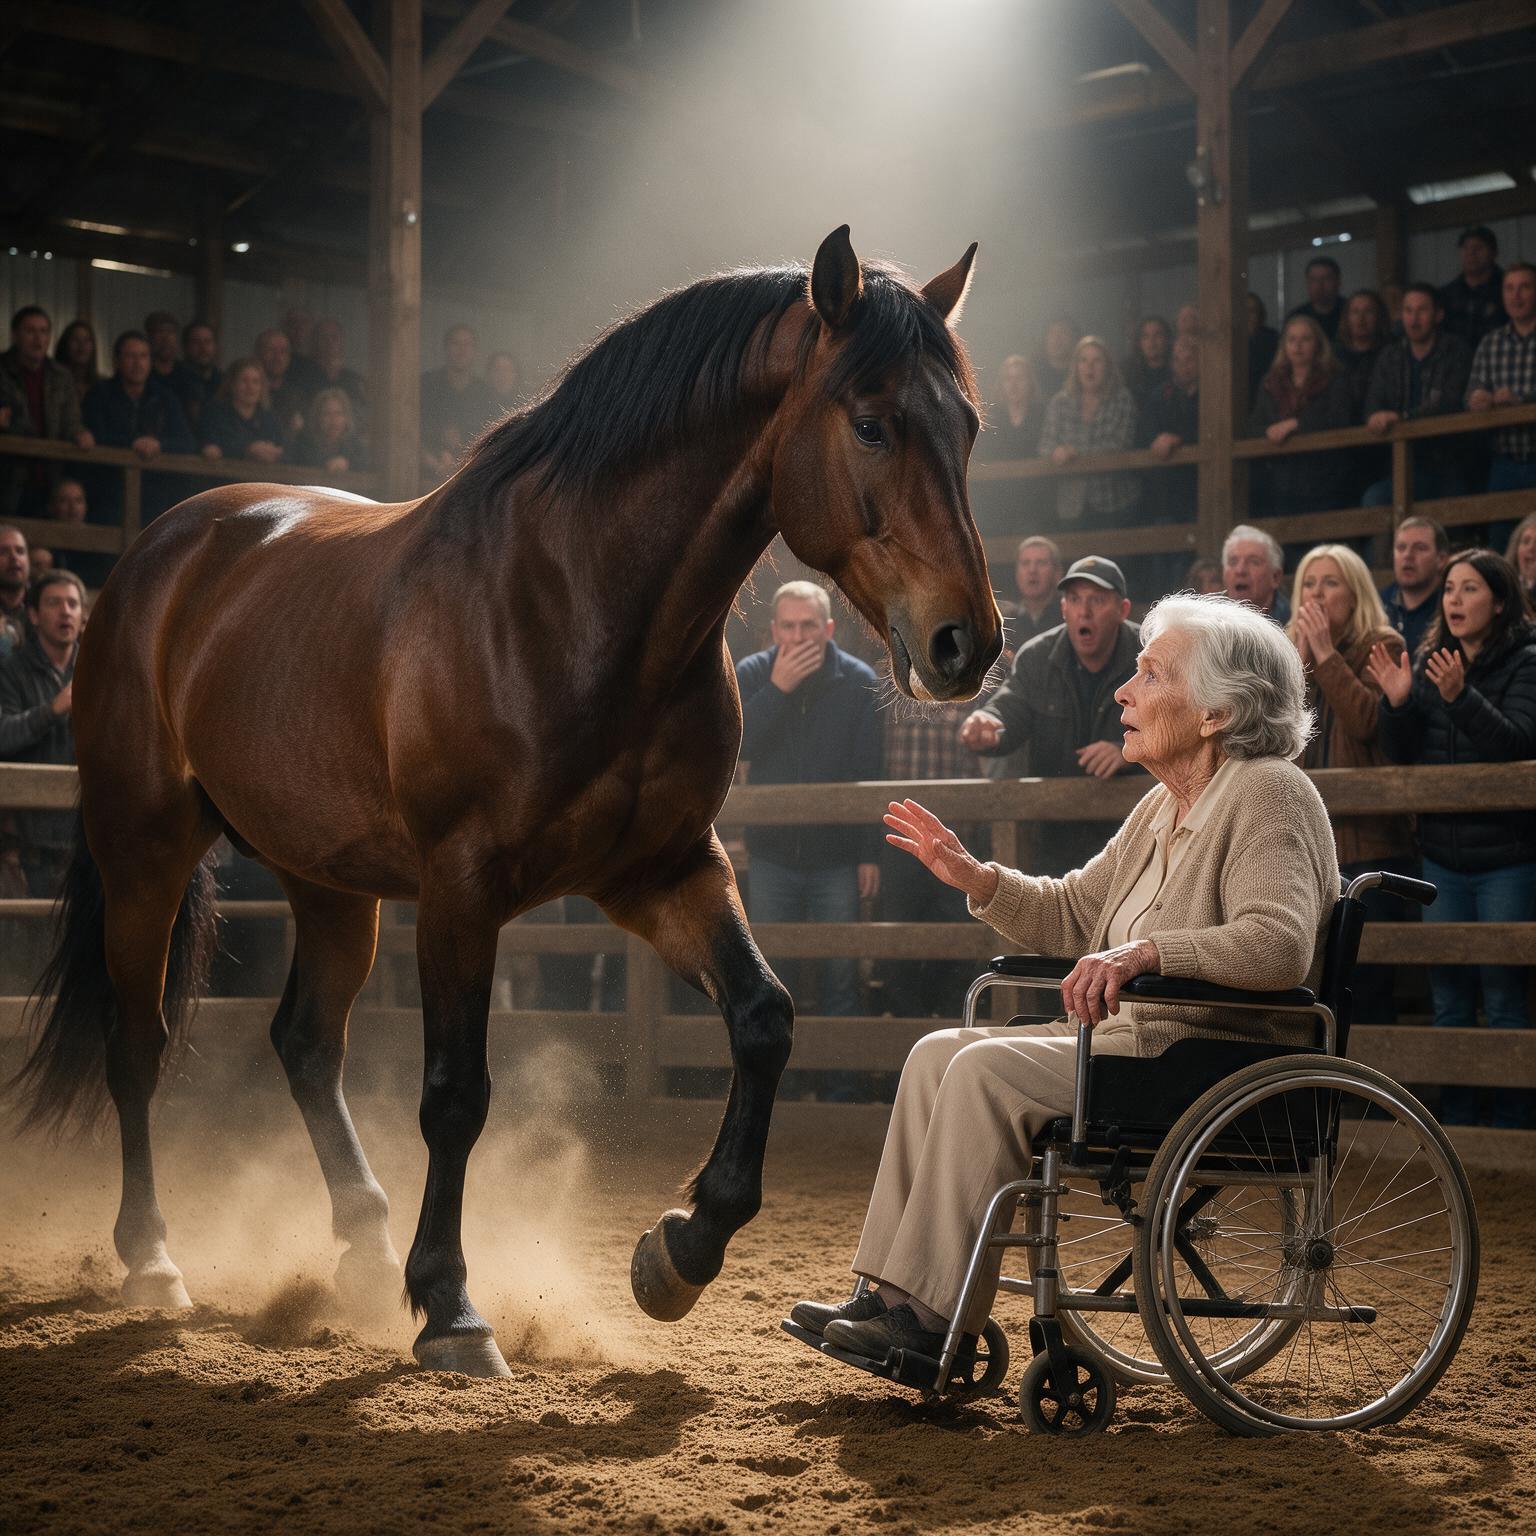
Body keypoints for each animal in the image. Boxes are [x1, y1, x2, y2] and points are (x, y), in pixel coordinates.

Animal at [10, 226, 1002, 1377]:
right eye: (874, 422)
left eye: (968, 425)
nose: (966, 642)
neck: (577, 601)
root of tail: (161, 550)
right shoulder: (462, 889)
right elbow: (455, 1093)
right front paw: (450, 1306)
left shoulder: (664, 871)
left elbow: (764, 1019)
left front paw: (681, 1248)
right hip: (147, 853)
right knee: (138, 1046)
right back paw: (155, 1260)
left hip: (328, 880)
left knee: (305, 1044)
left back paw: (361, 1247)